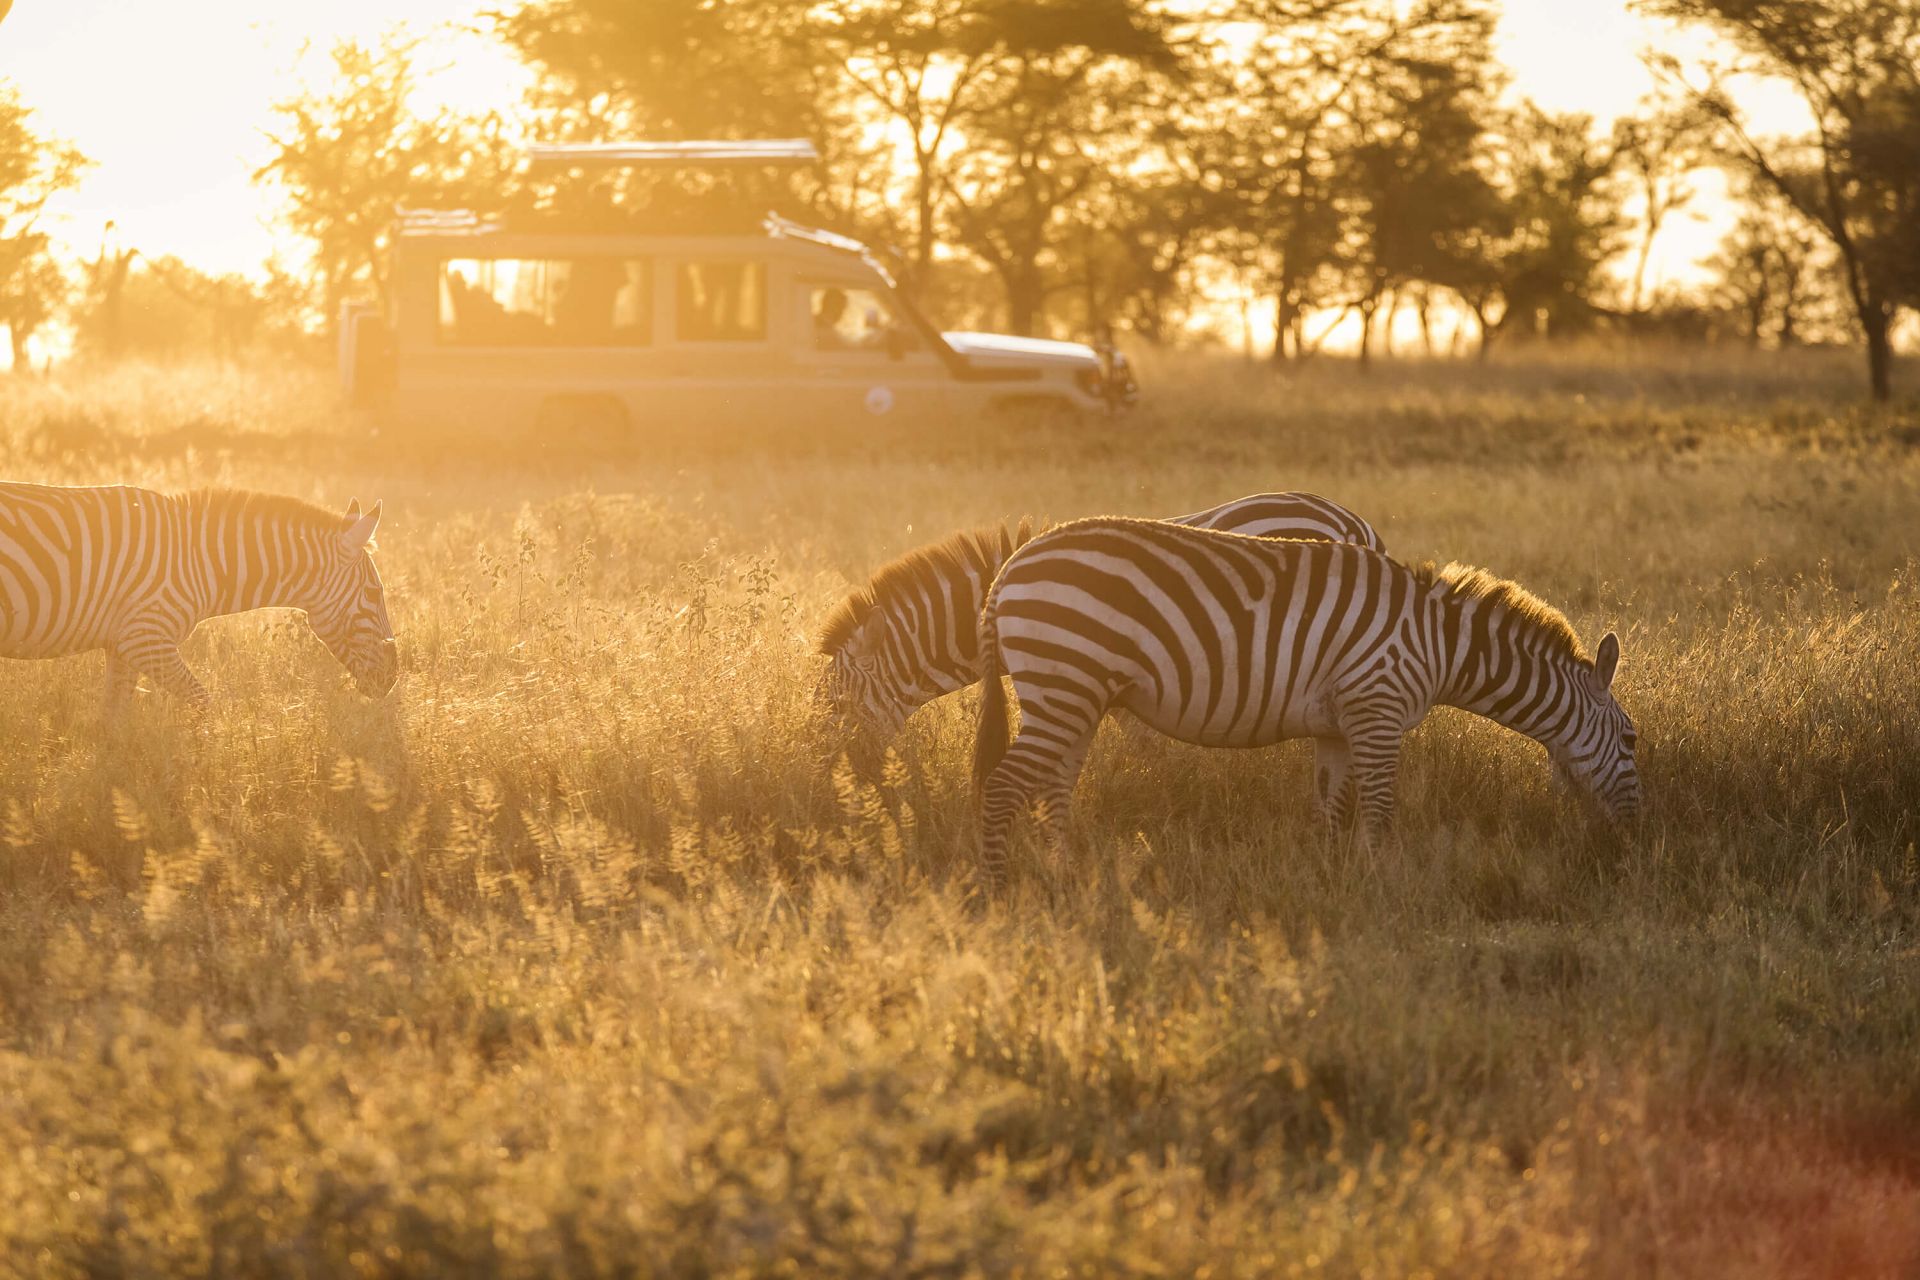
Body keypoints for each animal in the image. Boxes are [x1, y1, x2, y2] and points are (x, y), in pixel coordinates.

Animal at [0, 483, 399, 708]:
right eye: (374, 592)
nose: (393, 679)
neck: (198, 559)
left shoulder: (121, 645)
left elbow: (113, 724)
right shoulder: (145, 639)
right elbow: (202, 704)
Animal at [972, 517, 1638, 887]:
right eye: (1632, 740)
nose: (1633, 836)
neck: (1441, 646)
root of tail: (1009, 568)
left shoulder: (1338, 727)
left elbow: (1329, 810)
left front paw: (1328, 883)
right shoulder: (1378, 709)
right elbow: (1379, 811)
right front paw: (1384, 887)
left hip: (1073, 696)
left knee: (1054, 788)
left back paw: (1066, 874)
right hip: (1064, 683)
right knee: (1003, 787)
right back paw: (998, 890)